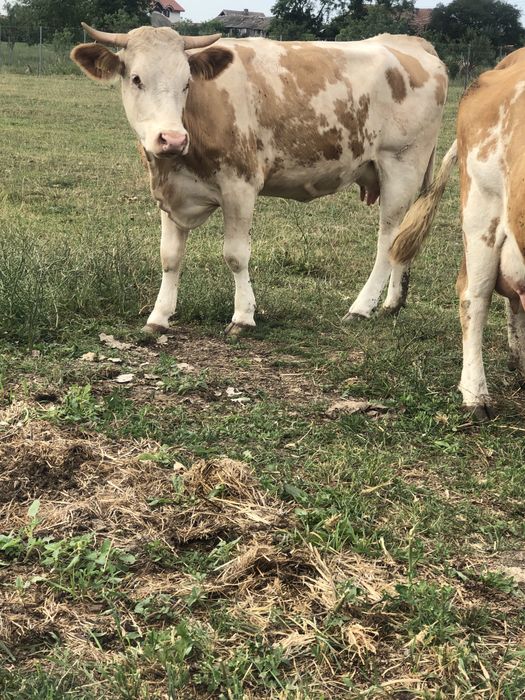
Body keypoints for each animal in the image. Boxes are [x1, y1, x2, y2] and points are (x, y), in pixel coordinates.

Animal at [71, 24, 447, 336]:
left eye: (186, 83)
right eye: (136, 78)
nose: (172, 139)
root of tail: (410, 43)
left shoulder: (240, 185)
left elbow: (236, 255)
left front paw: (243, 317)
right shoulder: (172, 192)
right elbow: (170, 257)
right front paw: (159, 317)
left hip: (401, 165)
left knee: (388, 241)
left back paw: (361, 308)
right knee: (403, 240)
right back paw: (392, 304)